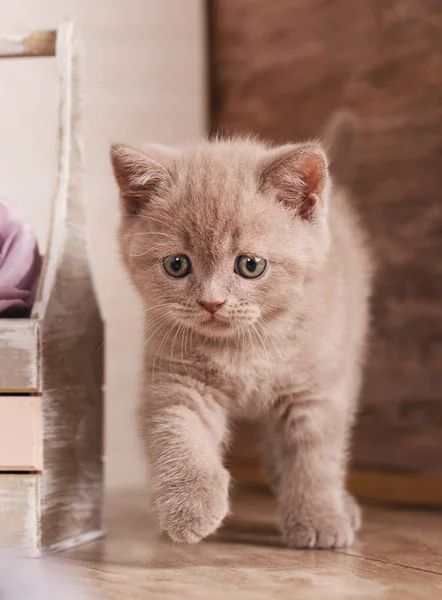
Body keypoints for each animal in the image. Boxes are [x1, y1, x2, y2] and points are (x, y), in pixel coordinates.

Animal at [111, 122, 372, 548]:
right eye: (177, 264)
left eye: (250, 265)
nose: (211, 302)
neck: (244, 347)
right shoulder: (178, 378)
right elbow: (178, 433)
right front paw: (190, 506)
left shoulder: (314, 389)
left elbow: (315, 456)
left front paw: (319, 518)